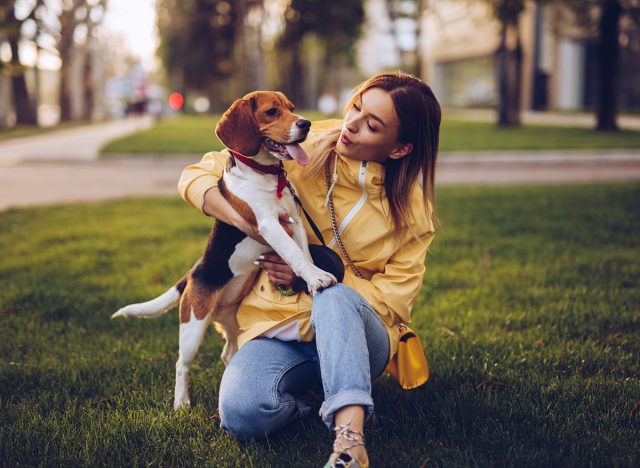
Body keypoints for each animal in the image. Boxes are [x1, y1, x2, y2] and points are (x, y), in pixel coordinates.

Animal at [112, 89, 338, 408]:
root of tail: (193, 273)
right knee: (182, 364)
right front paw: (316, 278)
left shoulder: (294, 221)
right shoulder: (268, 225)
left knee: (227, 352)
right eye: (272, 112)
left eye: (292, 108)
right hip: (193, 324)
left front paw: (312, 277)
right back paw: (181, 403)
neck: (266, 176)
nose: (305, 124)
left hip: (231, 322)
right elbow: (294, 254)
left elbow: (303, 254)